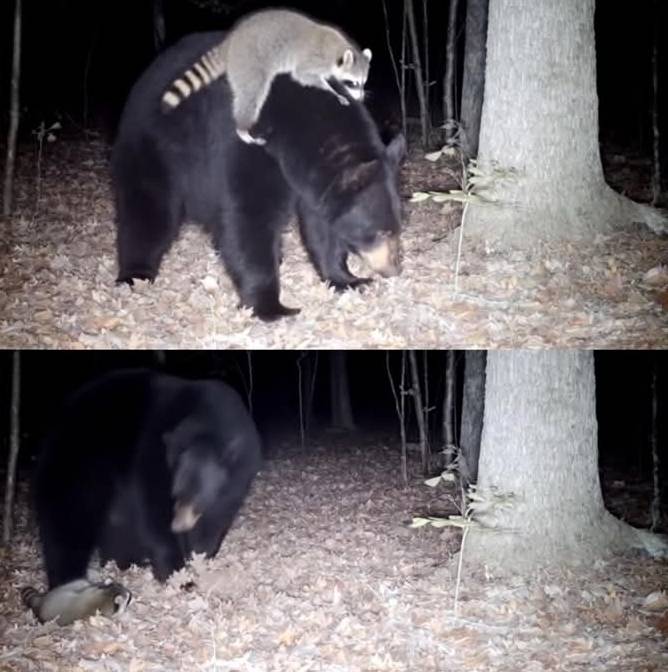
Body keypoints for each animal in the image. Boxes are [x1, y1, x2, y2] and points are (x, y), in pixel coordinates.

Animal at [33, 369, 262, 595]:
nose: (177, 526)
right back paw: (68, 580)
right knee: (67, 523)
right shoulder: (151, 454)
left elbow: (217, 516)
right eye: (176, 494)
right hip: (78, 466)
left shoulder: (239, 474)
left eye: (196, 498)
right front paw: (179, 576)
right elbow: (152, 511)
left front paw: (200, 557)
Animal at [112, 31, 405, 321]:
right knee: (147, 209)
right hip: (154, 146)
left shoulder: (313, 180)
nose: (395, 269)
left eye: (399, 226)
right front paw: (272, 306)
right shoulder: (243, 143)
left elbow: (321, 225)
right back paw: (135, 273)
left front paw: (348, 279)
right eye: (381, 231)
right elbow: (249, 215)